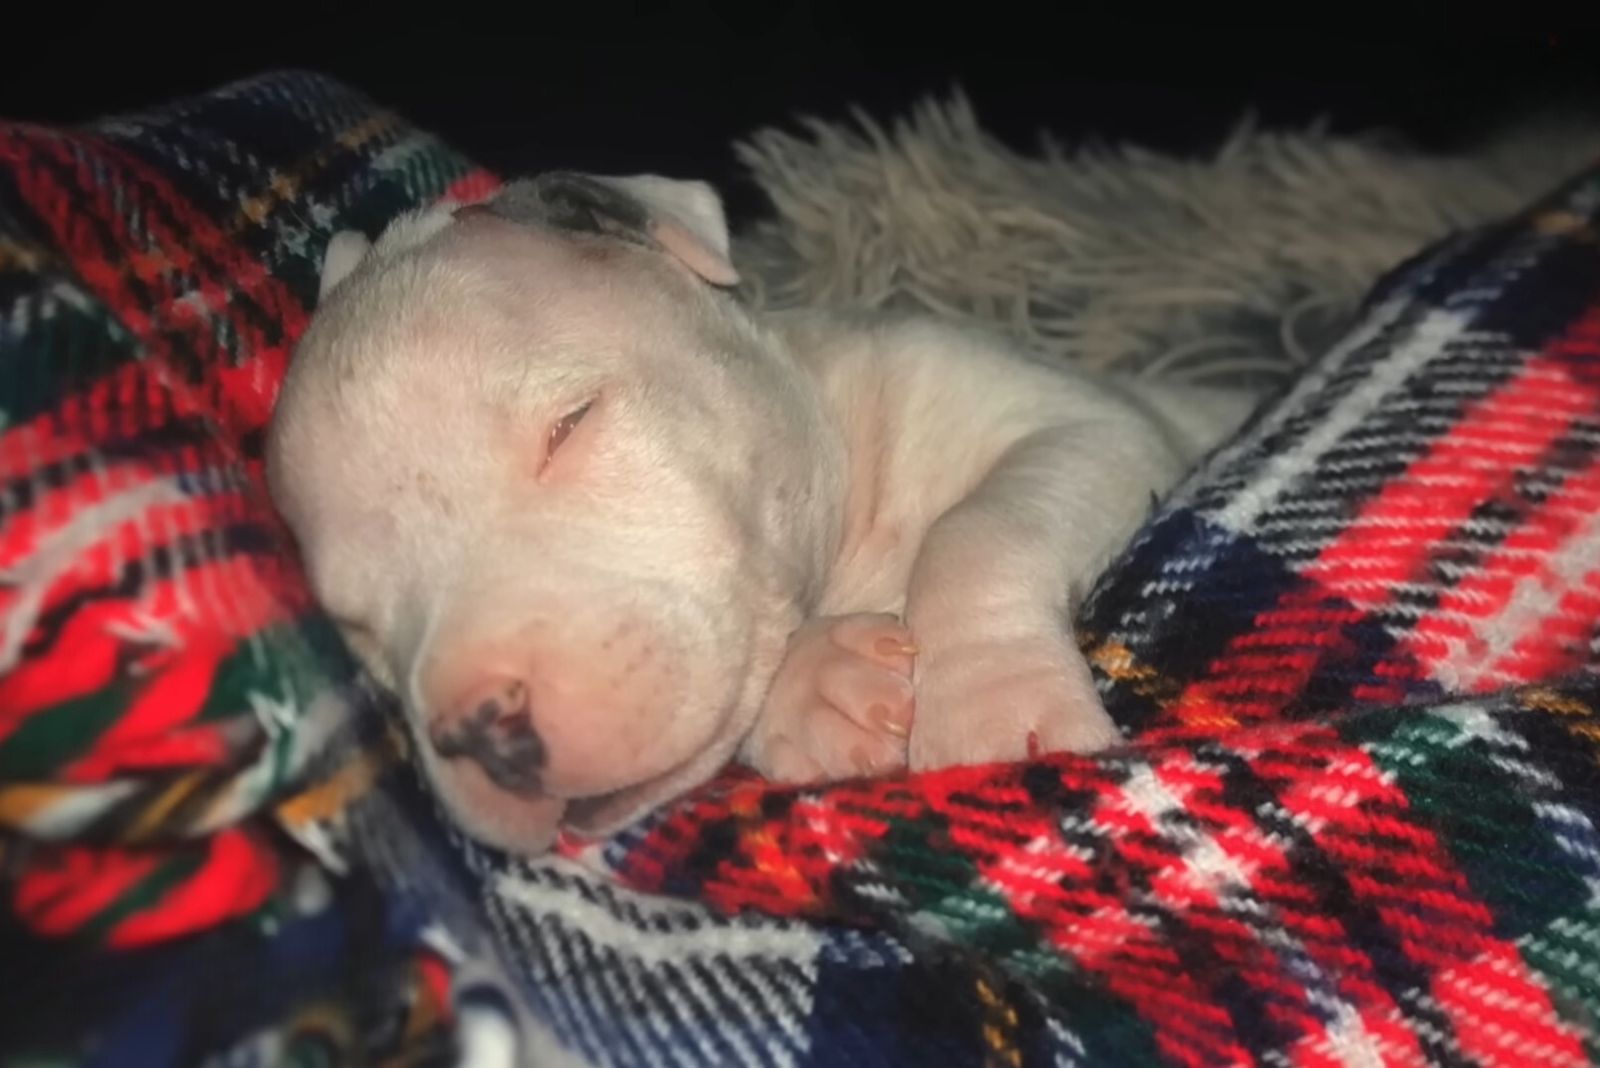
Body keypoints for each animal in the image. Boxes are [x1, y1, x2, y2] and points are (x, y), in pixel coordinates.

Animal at [265, 177, 1260, 856]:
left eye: (570, 424)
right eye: (358, 625)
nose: (479, 733)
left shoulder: (1091, 426)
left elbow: (977, 532)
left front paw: (994, 712)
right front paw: (823, 686)